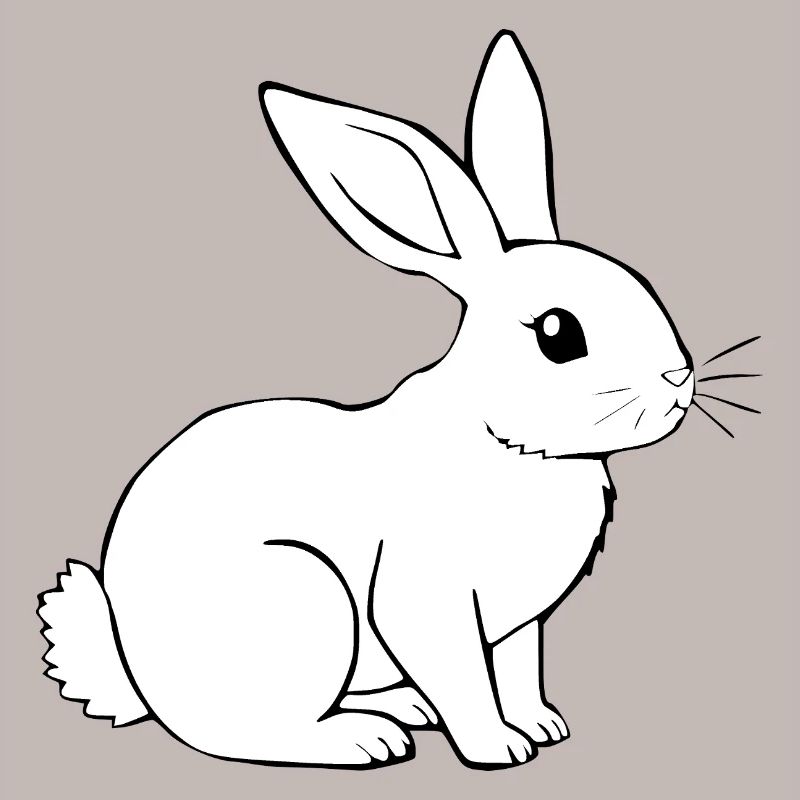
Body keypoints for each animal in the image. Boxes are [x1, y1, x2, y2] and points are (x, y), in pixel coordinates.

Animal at [38, 30, 697, 770]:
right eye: (558, 334)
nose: (679, 380)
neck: (511, 446)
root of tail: (135, 672)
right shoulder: (428, 600)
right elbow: (466, 679)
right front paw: (498, 747)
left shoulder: (518, 626)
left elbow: (518, 671)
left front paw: (541, 726)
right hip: (303, 599)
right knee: (247, 734)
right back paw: (365, 737)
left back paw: (403, 709)